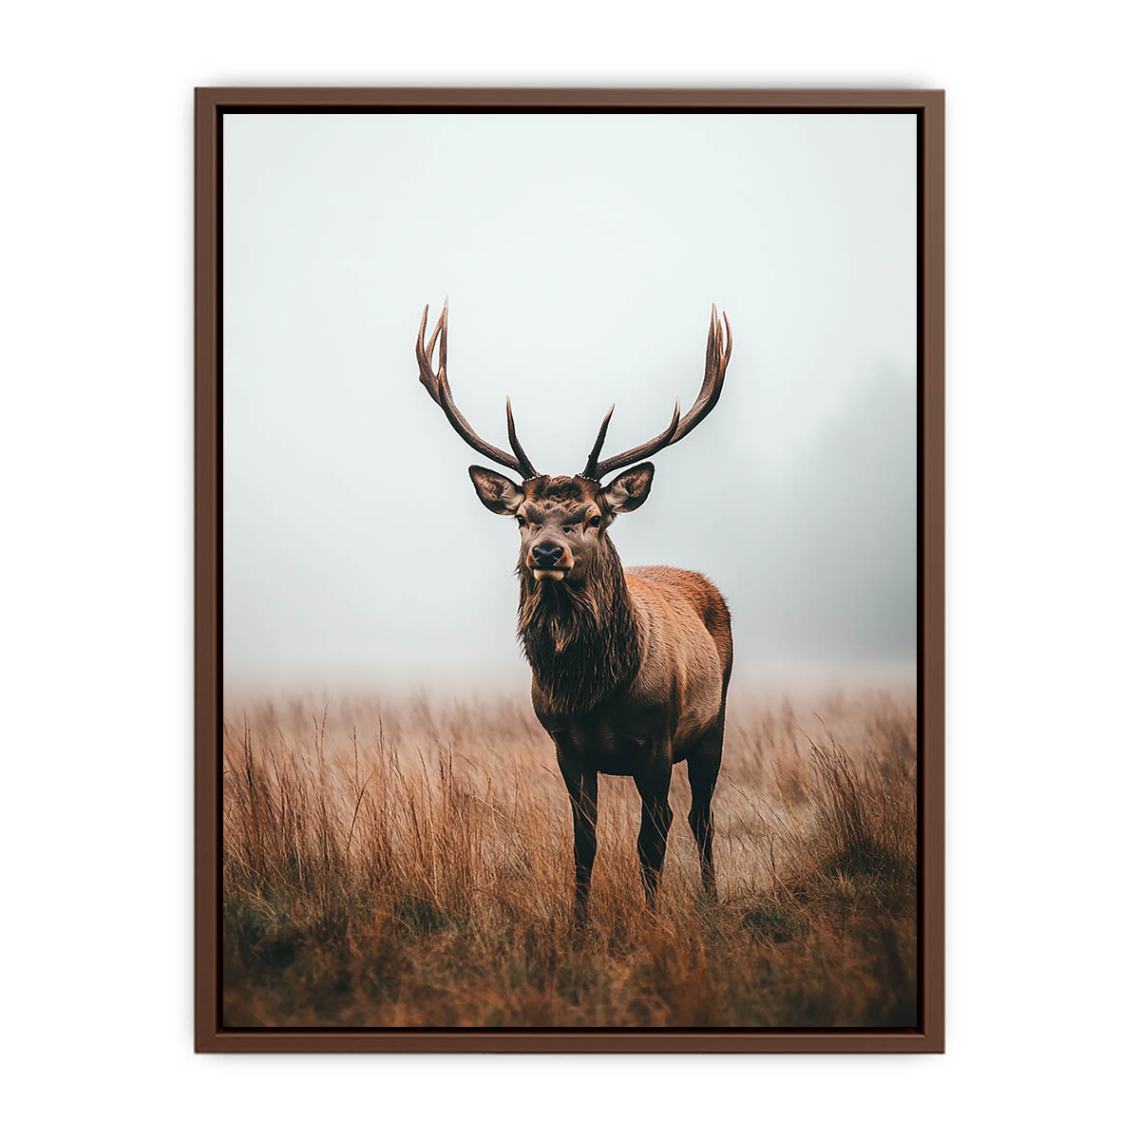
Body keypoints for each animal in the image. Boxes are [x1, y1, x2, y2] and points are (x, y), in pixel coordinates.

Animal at [414, 301, 733, 925]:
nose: (546, 552)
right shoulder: (565, 744)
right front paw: (579, 923)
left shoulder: (656, 743)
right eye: (524, 517)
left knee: (700, 817)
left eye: (592, 517)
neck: (594, 692)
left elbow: (651, 838)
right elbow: (584, 839)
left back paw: (712, 898)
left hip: (714, 723)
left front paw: (651, 921)